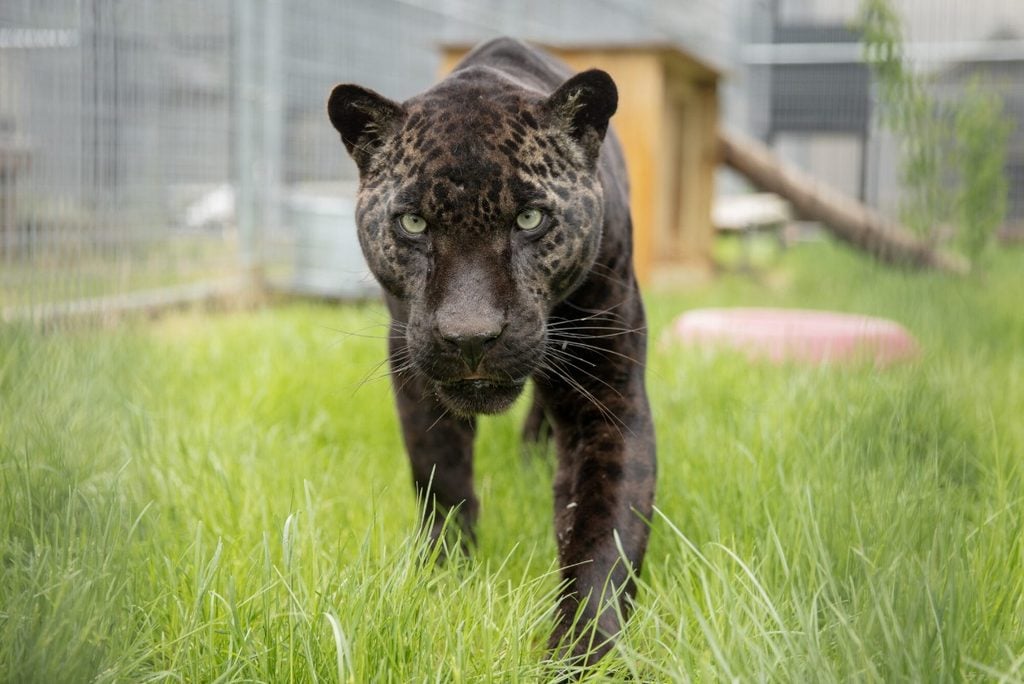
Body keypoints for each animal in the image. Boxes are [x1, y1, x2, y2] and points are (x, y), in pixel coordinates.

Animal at [328, 37, 656, 667]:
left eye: (529, 219)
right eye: (413, 223)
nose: (471, 335)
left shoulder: (610, 396)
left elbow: (603, 531)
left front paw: (576, 657)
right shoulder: (414, 371)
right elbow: (442, 479)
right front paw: (442, 582)